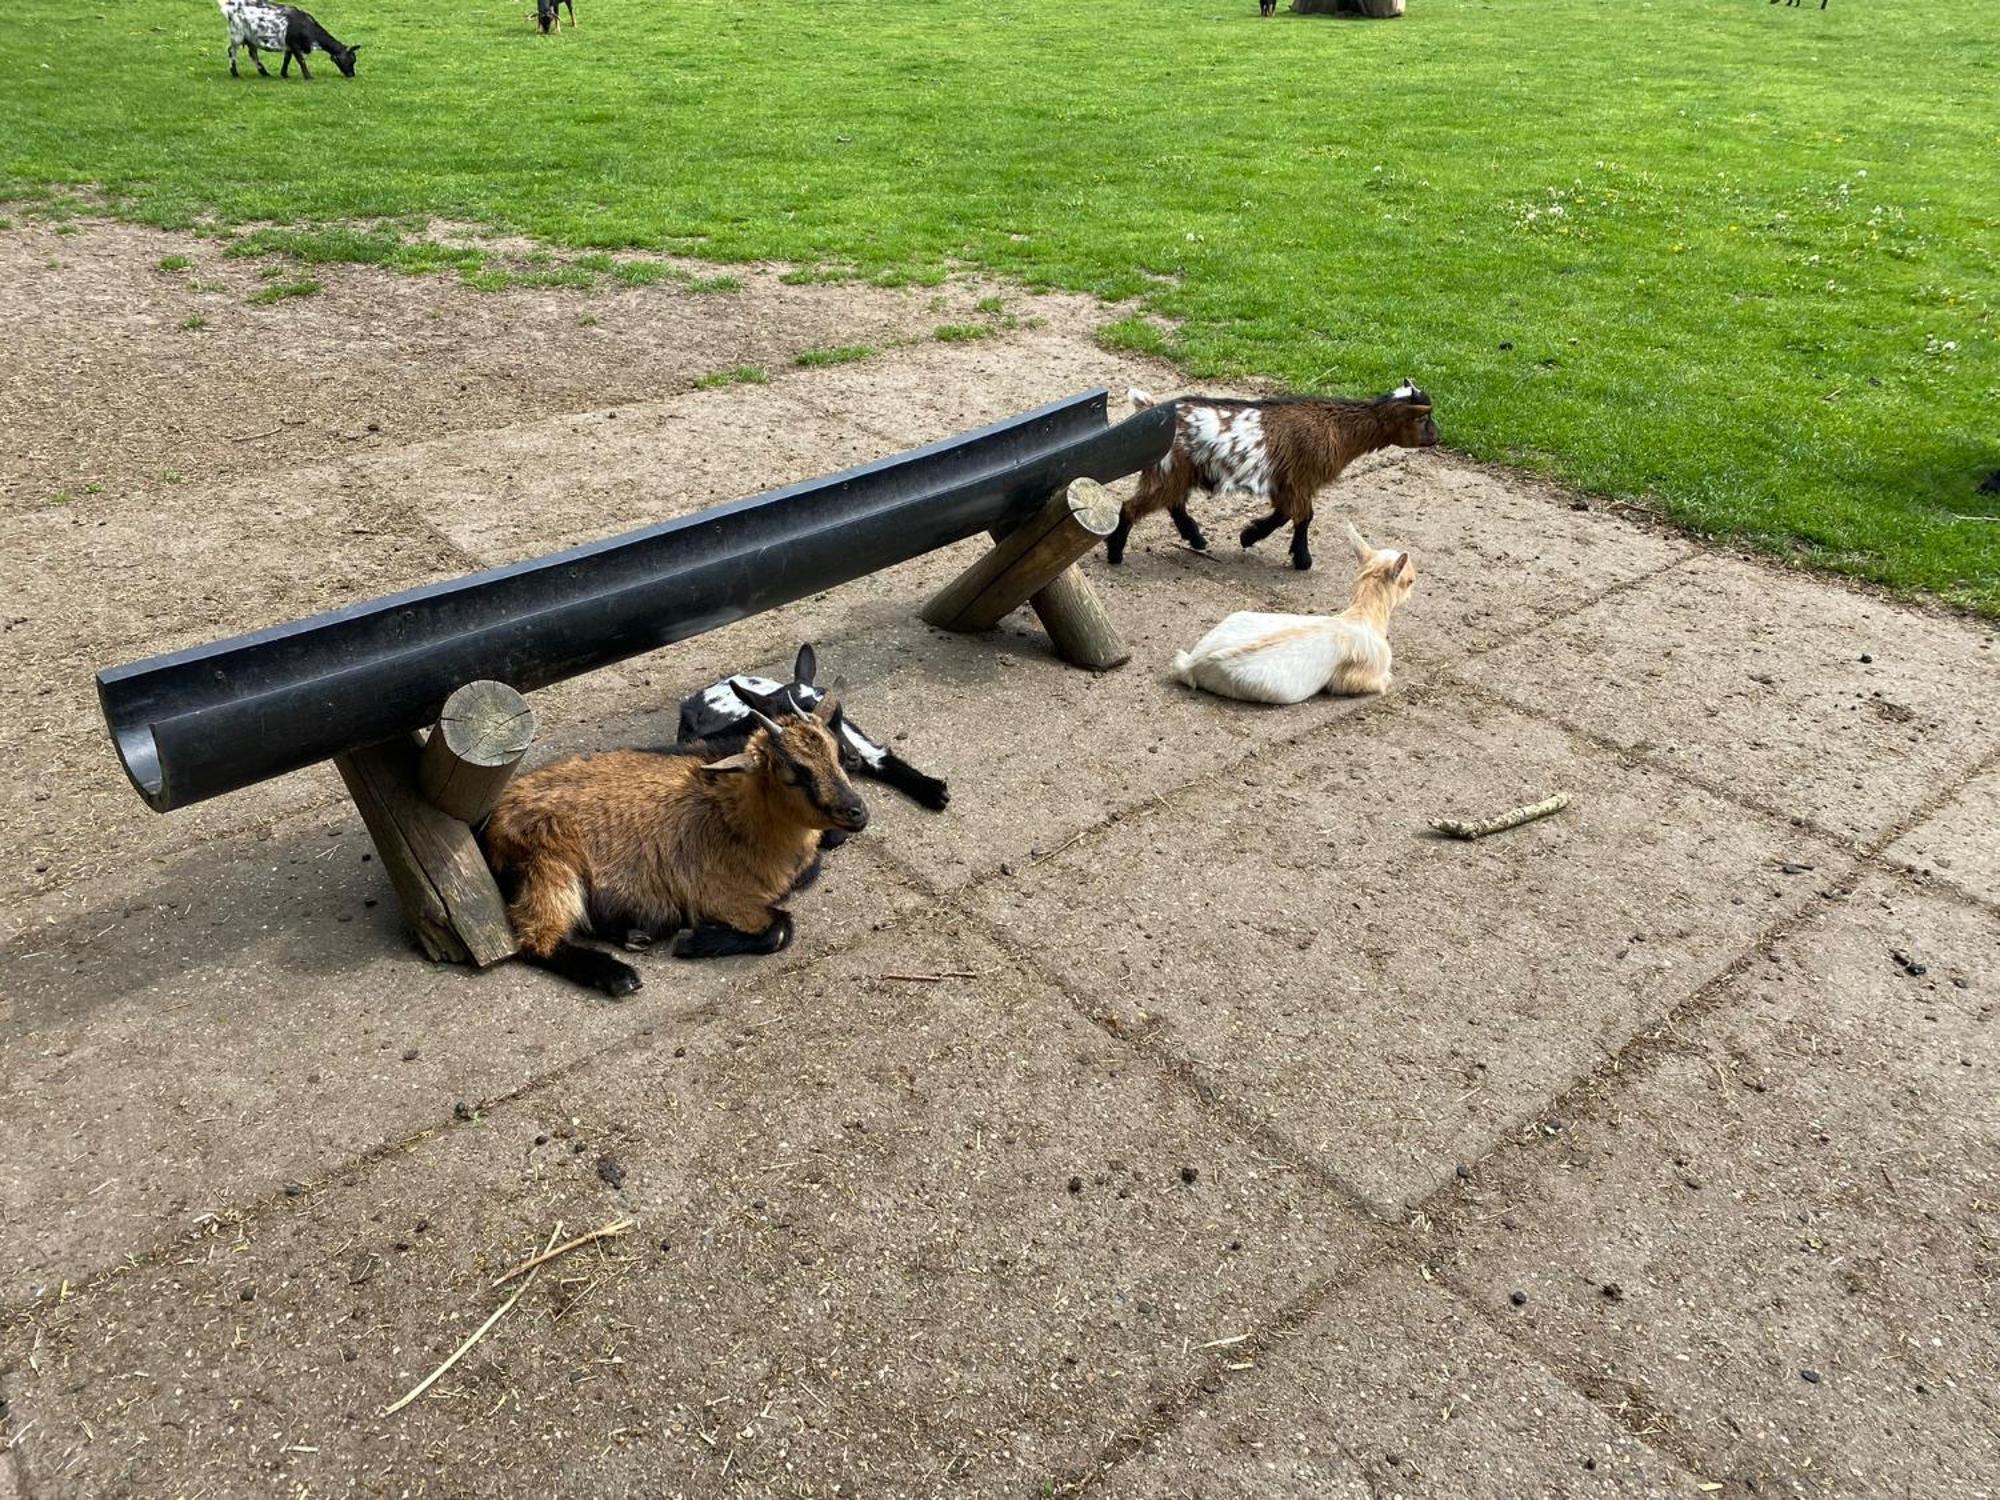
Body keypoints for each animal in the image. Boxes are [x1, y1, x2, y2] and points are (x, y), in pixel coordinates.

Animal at [219, 0, 360, 78]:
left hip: (250, 38)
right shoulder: (294, 43)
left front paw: (284, 74)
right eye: (351, 59)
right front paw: (309, 77)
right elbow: (301, 60)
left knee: (253, 54)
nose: (352, 75)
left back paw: (265, 73)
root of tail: (230, 7)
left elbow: (287, 59)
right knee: (232, 51)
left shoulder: (289, 45)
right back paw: (235, 73)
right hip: (237, 34)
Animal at [484, 684, 868, 1000]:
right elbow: (781, 929)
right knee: (536, 941)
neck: (735, 817)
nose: (857, 811)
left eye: (834, 753)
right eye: (794, 774)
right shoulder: (720, 895)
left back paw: (633, 933)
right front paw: (690, 940)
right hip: (549, 866)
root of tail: (495, 818)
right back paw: (618, 975)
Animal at [1112, 384, 1440, 572]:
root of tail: (1151, 411)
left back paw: (1196, 538)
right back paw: (1115, 553)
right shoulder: (1300, 479)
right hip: (1169, 470)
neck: (1337, 428)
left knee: (1173, 504)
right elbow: (1304, 517)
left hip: (1177, 472)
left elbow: (1284, 515)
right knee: (1133, 506)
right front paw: (1302, 560)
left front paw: (1249, 534)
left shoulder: (1285, 482)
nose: (1438, 436)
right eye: (1423, 418)